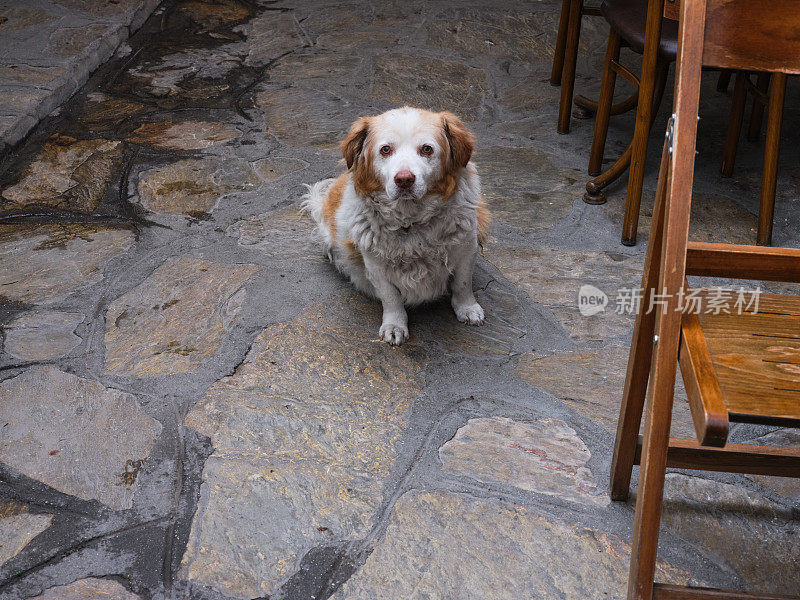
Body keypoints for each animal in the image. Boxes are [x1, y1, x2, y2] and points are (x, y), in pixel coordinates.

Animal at [304, 105, 488, 344]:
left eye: (427, 149)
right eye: (385, 150)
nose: (404, 179)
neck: (411, 222)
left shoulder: (467, 248)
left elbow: (463, 284)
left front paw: (467, 309)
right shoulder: (375, 265)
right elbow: (391, 298)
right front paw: (395, 326)